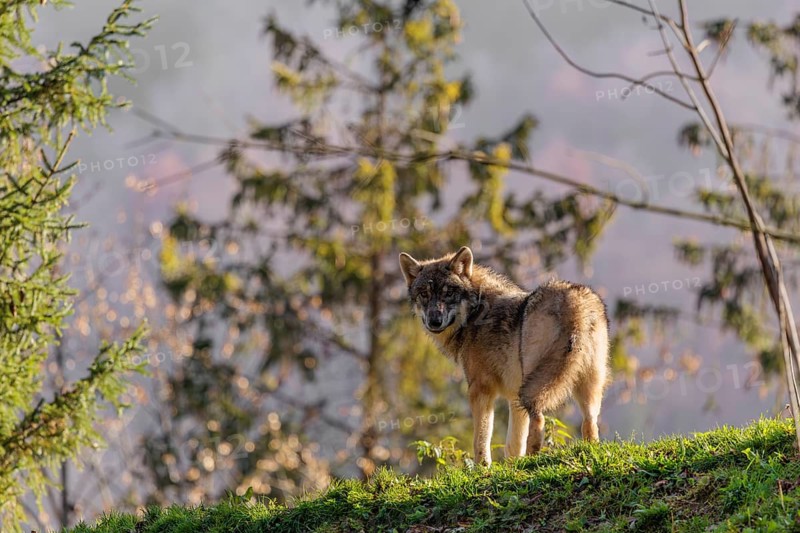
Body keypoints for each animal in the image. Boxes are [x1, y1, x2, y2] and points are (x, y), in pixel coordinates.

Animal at [398, 246, 609, 465]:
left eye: (448, 293)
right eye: (424, 294)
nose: (434, 321)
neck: (475, 312)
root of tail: (576, 302)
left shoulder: (480, 389)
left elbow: (481, 438)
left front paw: (482, 467)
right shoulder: (513, 397)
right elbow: (513, 445)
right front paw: (513, 466)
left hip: (535, 382)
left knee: (539, 418)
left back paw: (533, 461)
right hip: (587, 385)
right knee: (590, 421)